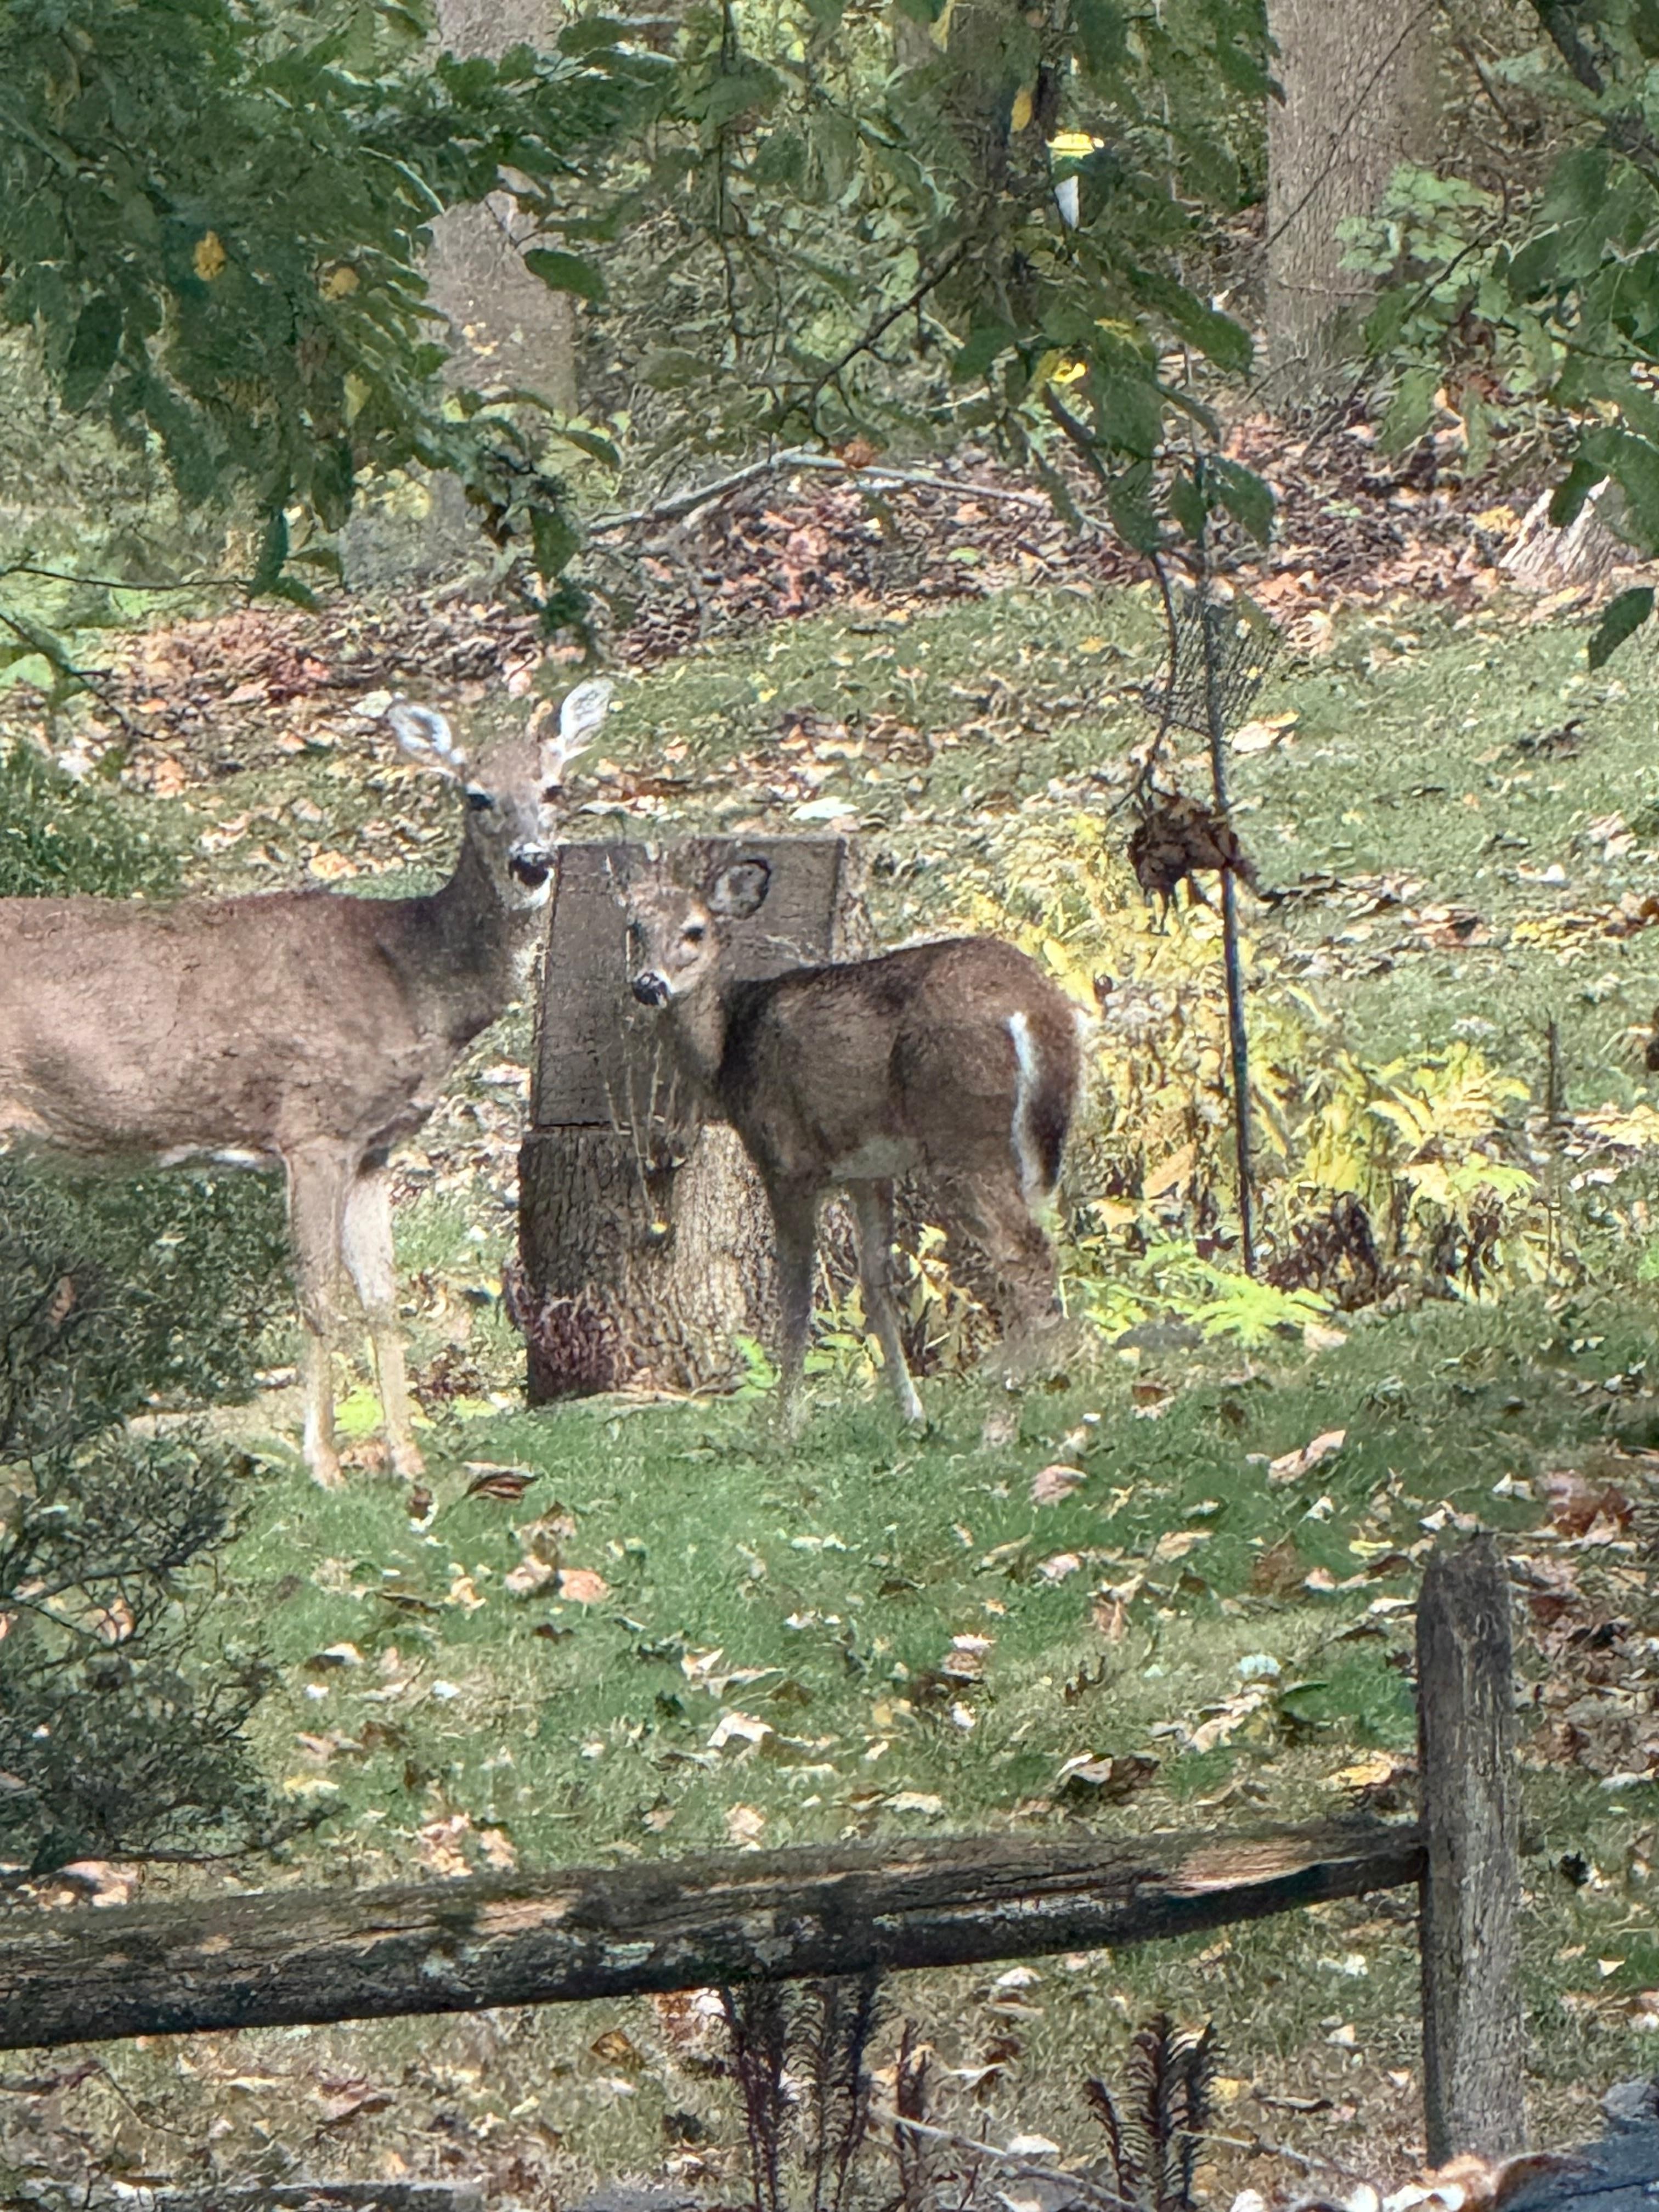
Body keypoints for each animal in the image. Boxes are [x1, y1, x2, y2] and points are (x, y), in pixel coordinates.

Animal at [0, 678, 612, 1489]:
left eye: (555, 787)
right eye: (476, 795)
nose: (532, 863)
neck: (413, 980)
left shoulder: (376, 1147)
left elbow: (383, 1297)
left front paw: (408, 1460)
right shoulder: (313, 1126)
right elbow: (320, 1295)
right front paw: (324, 1464)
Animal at [623, 853, 1083, 1429]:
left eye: (695, 931)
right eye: (634, 928)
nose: (649, 984)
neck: (729, 1050)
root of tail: (1036, 1008)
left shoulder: (787, 1161)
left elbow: (796, 1298)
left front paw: (786, 1424)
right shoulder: (869, 1170)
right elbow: (875, 1282)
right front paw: (912, 1412)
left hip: (963, 1134)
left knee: (1026, 1252)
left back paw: (1030, 1389)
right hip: (1039, 1146)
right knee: (1051, 1238)